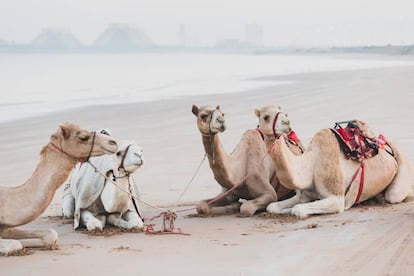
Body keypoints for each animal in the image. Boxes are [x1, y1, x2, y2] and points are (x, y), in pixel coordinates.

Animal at [256, 104, 414, 218]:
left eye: (285, 114)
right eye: (265, 117)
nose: (286, 123)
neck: (311, 163)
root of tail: (387, 143)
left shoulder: (336, 198)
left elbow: (298, 210)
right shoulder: (304, 194)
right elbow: (272, 206)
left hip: (401, 174)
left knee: (394, 195)